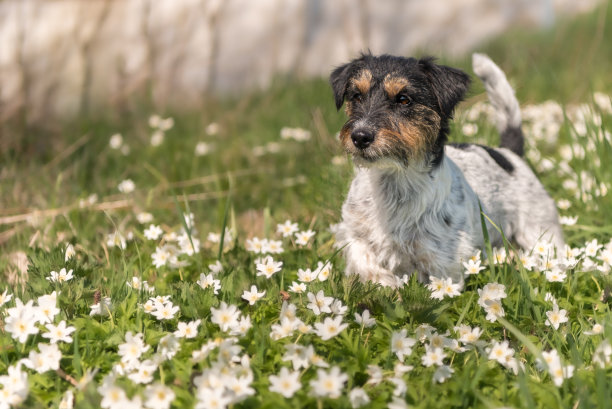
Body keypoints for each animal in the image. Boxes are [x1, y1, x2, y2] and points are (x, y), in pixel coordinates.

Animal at [330, 51, 564, 286]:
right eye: (356, 96)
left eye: (404, 99)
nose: (360, 136)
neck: (395, 181)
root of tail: (509, 155)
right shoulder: (356, 237)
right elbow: (367, 266)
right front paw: (387, 285)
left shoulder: (442, 264)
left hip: (539, 231)